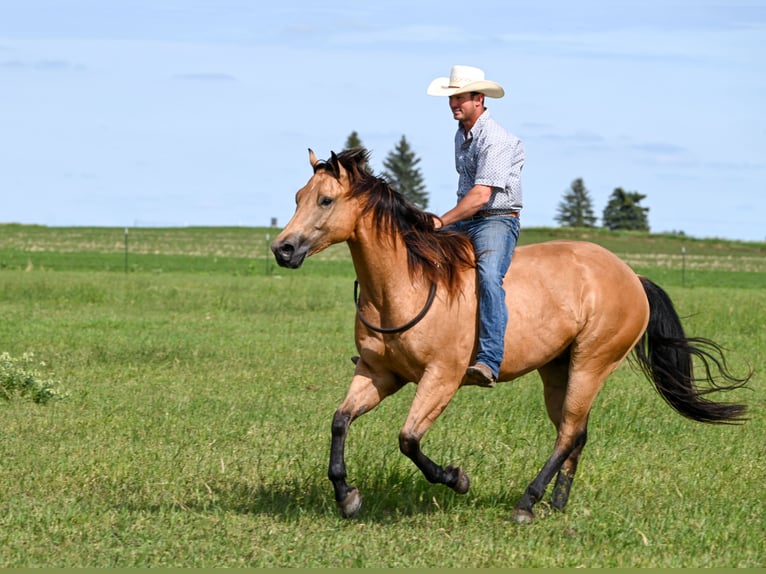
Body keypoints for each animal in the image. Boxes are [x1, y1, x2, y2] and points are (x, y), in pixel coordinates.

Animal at [270, 148, 752, 528]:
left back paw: (527, 503)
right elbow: (339, 421)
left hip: (592, 364)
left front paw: (457, 479)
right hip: (558, 369)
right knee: (576, 433)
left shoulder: (441, 379)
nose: (283, 249)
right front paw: (347, 497)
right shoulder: (379, 373)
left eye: (326, 199)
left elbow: (408, 439)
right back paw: (556, 503)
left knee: (568, 433)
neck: (406, 284)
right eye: (297, 197)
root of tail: (632, 276)